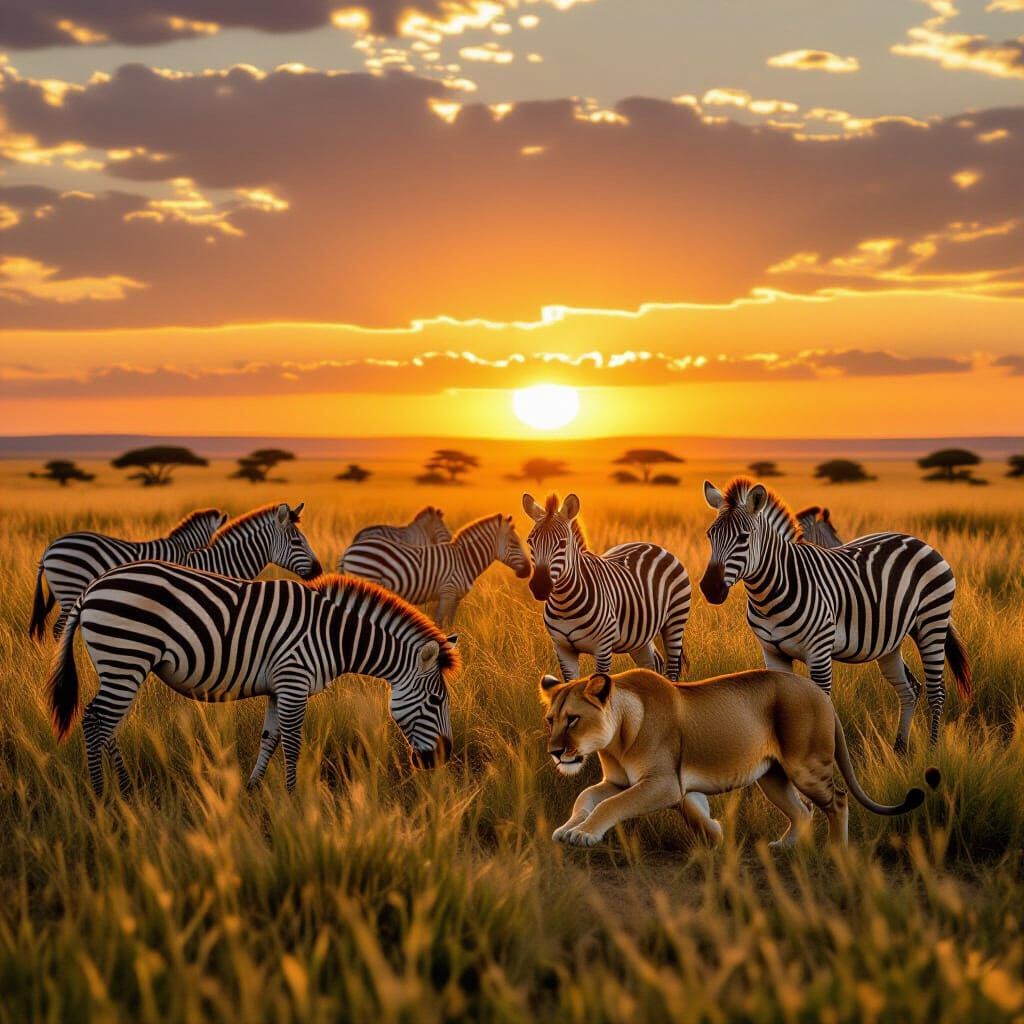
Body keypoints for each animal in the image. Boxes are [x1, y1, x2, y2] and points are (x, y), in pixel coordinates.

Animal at [46, 562, 459, 794]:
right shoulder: (294, 680)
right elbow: (292, 742)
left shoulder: (280, 686)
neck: (333, 634)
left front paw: (252, 790)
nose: (443, 758)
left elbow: (270, 738)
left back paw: (126, 790)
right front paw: (294, 800)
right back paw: (102, 796)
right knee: (95, 721)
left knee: (106, 725)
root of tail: (92, 587)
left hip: (122, 665)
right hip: (125, 657)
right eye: (436, 701)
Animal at [338, 513, 530, 627]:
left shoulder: (456, 598)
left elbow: (451, 625)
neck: (464, 560)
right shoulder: (447, 594)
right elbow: (439, 624)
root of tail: (348, 550)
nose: (528, 571)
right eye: (514, 542)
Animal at [523, 493, 691, 682]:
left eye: (562, 544)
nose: (540, 586)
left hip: (675, 621)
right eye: (529, 542)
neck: (564, 604)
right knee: (652, 664)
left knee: (672, 670)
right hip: (639, 636)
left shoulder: (603, 649)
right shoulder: (562, 649)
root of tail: (652, 545)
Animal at [540, 668, 939, 848]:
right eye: (550, 720)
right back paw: (783, 848)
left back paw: (835, 851)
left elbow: (612, 805)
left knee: (838, 799)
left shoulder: (663, 783)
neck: (618, 735)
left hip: (805, 768)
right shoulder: (619, 781)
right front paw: (567, 827)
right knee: (802, 811)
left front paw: (583, 835)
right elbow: (587, 797)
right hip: (773, 777)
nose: (555, 752)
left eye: (573, 719)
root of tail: (817, 690)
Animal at [699, 477, 972, 750]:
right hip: (890, 641)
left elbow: (822, 706)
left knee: (937, 693)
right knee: (910, 689)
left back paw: (932, 752)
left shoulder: (819, 653)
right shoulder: (773, 653)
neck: (771, 595)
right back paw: (899, 751)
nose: (710, 588)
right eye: (709, 535)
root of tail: (918, 541)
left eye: (743, 537)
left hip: (932, 622)